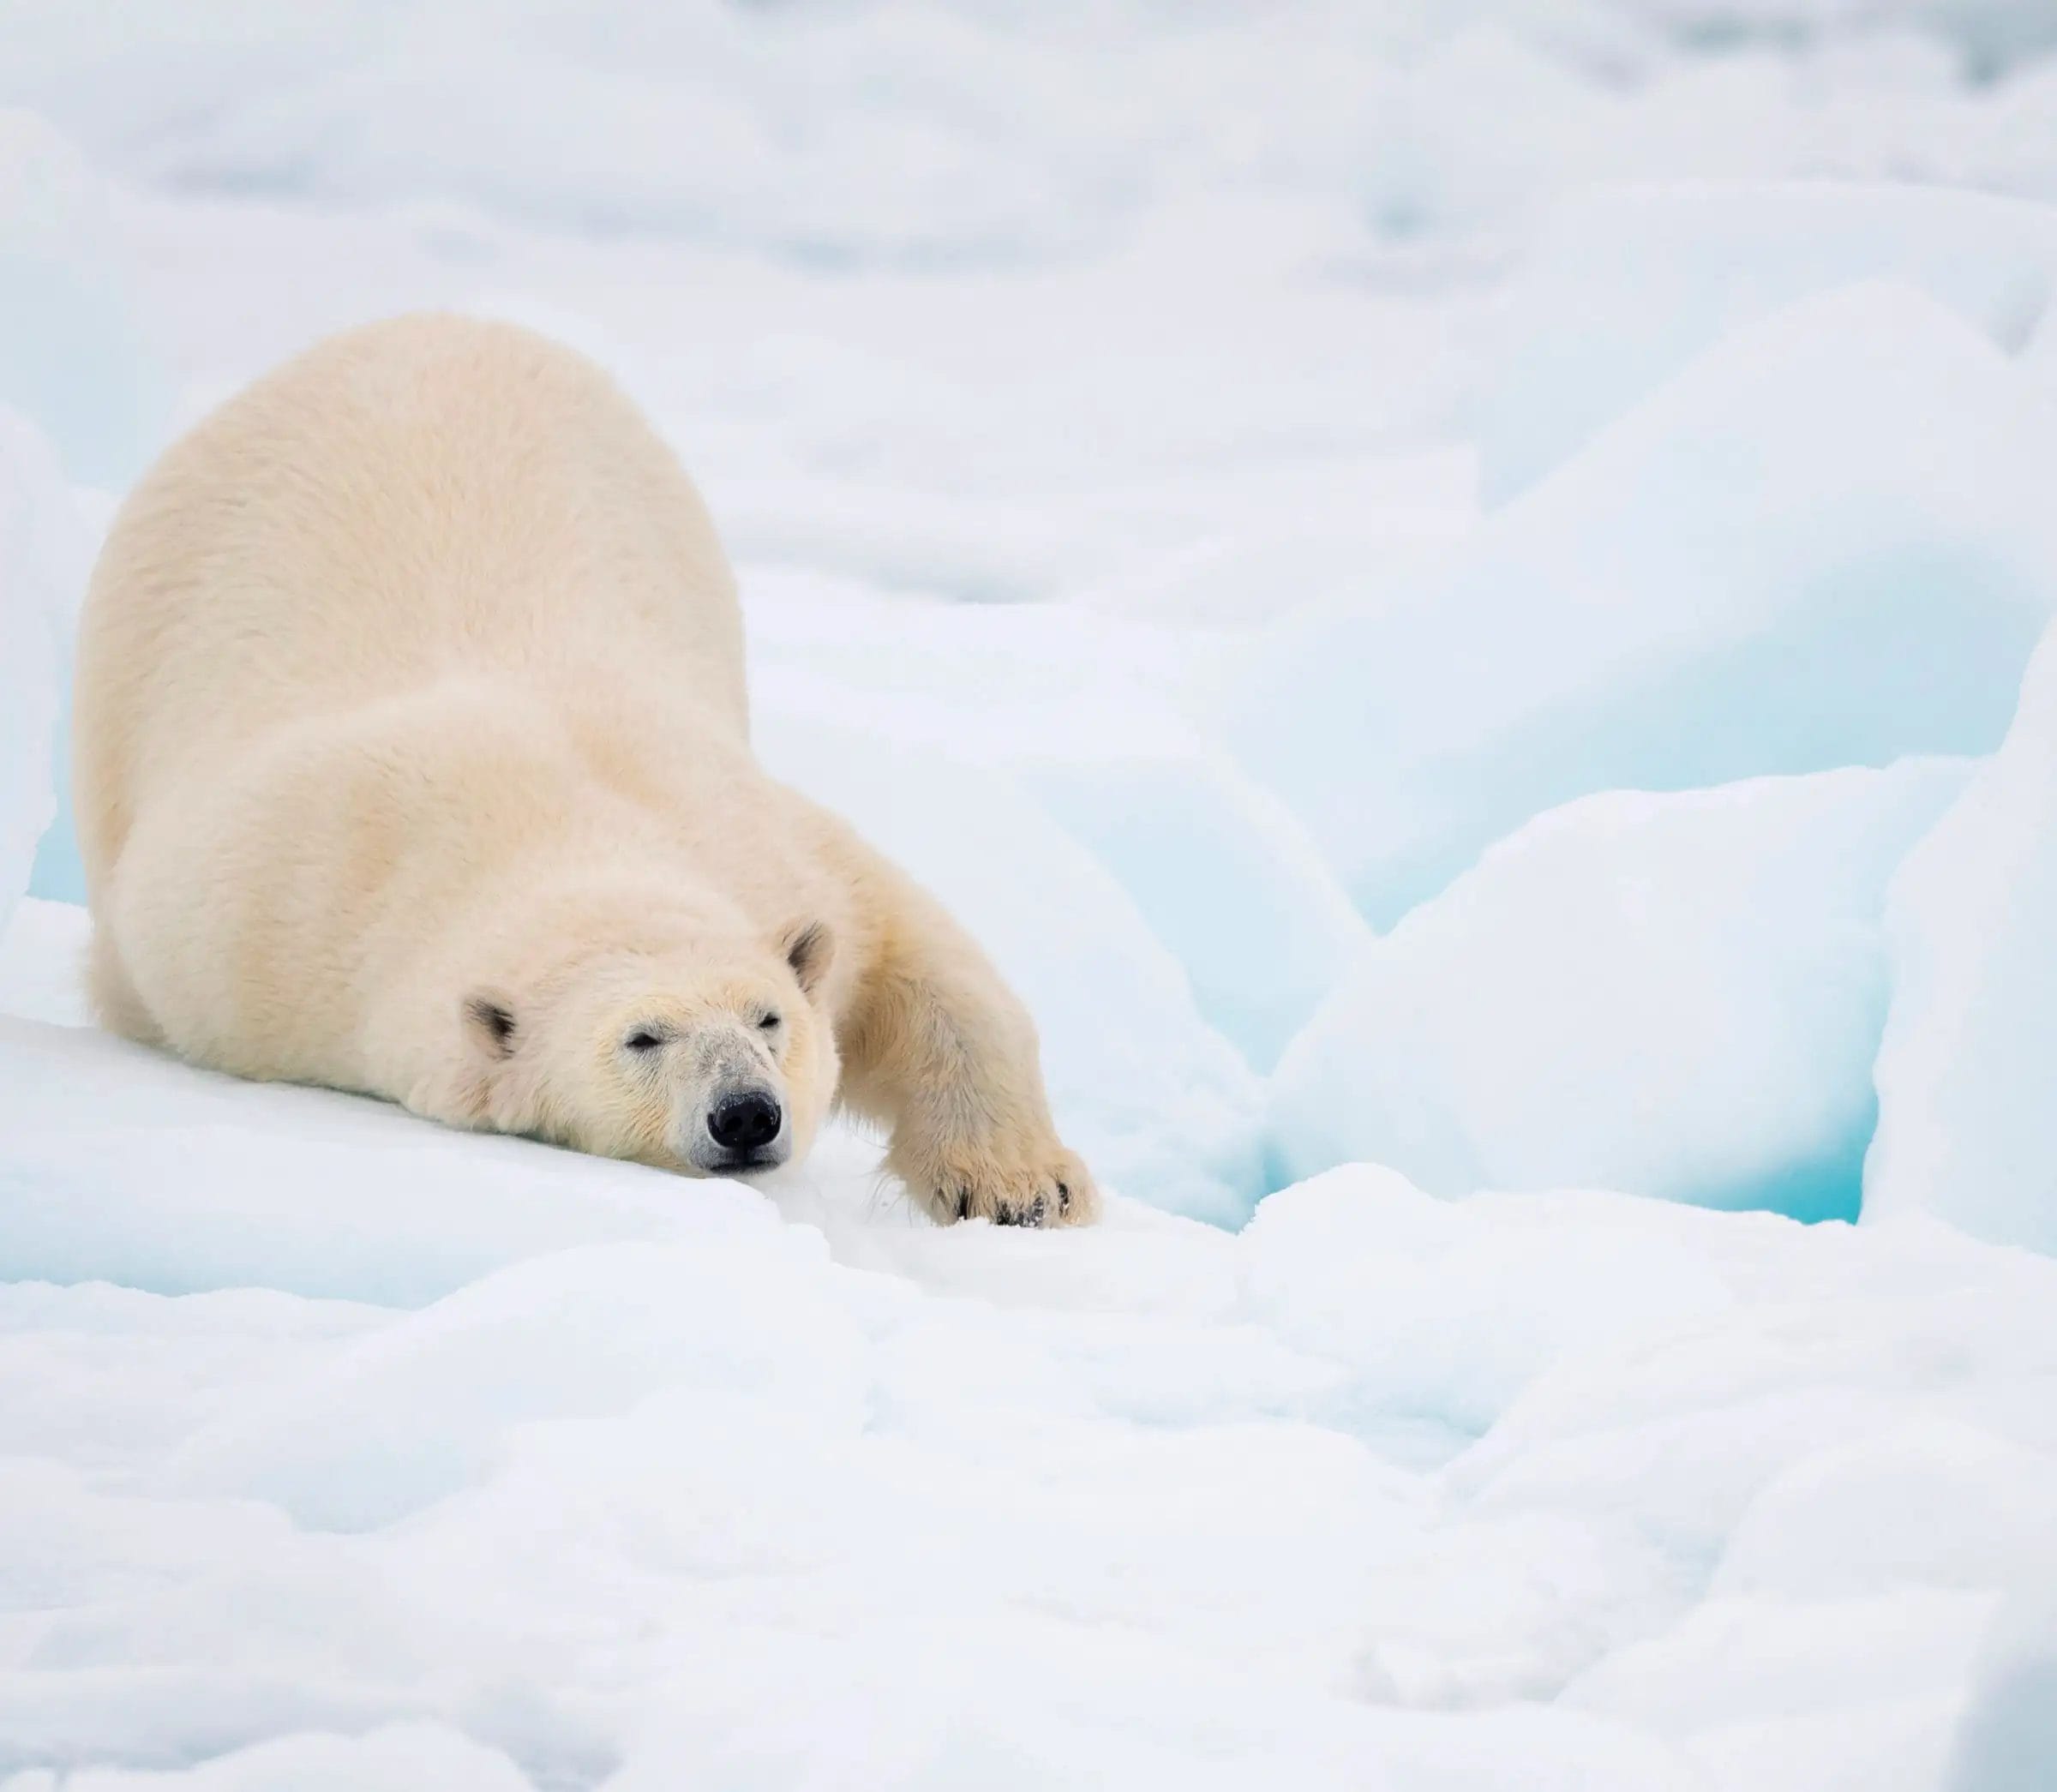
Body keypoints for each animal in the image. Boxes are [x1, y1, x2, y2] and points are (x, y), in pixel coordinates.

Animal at [71, 313, 1098, 1228]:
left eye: (768, 1018)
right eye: (641, 1038)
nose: (746, 1113)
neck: (570, 827)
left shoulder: (754, 828)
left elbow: (917, 959)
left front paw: (1021, 1186)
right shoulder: (252, 937)